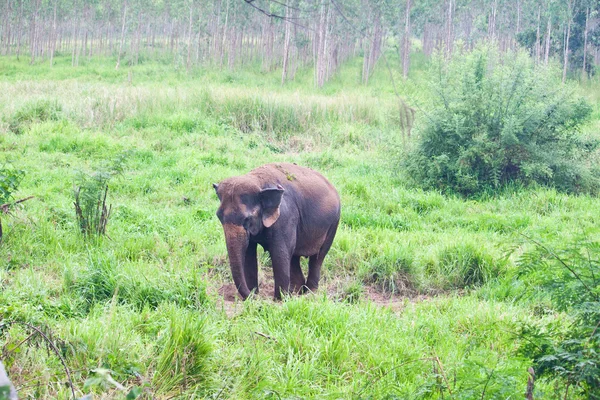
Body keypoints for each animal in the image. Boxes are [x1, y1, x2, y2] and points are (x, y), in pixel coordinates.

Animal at [214, 163, 340, 300]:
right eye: (219, 216)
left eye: (247, 219)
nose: (257, 297)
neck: (257, 182)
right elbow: (249, 253)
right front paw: (255, 296)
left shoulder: (285, 216)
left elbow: (279, 252)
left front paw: (279, 300)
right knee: (294, 258)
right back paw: (297, 292)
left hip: (333, 223)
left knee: (318, 256)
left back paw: (309, 293)